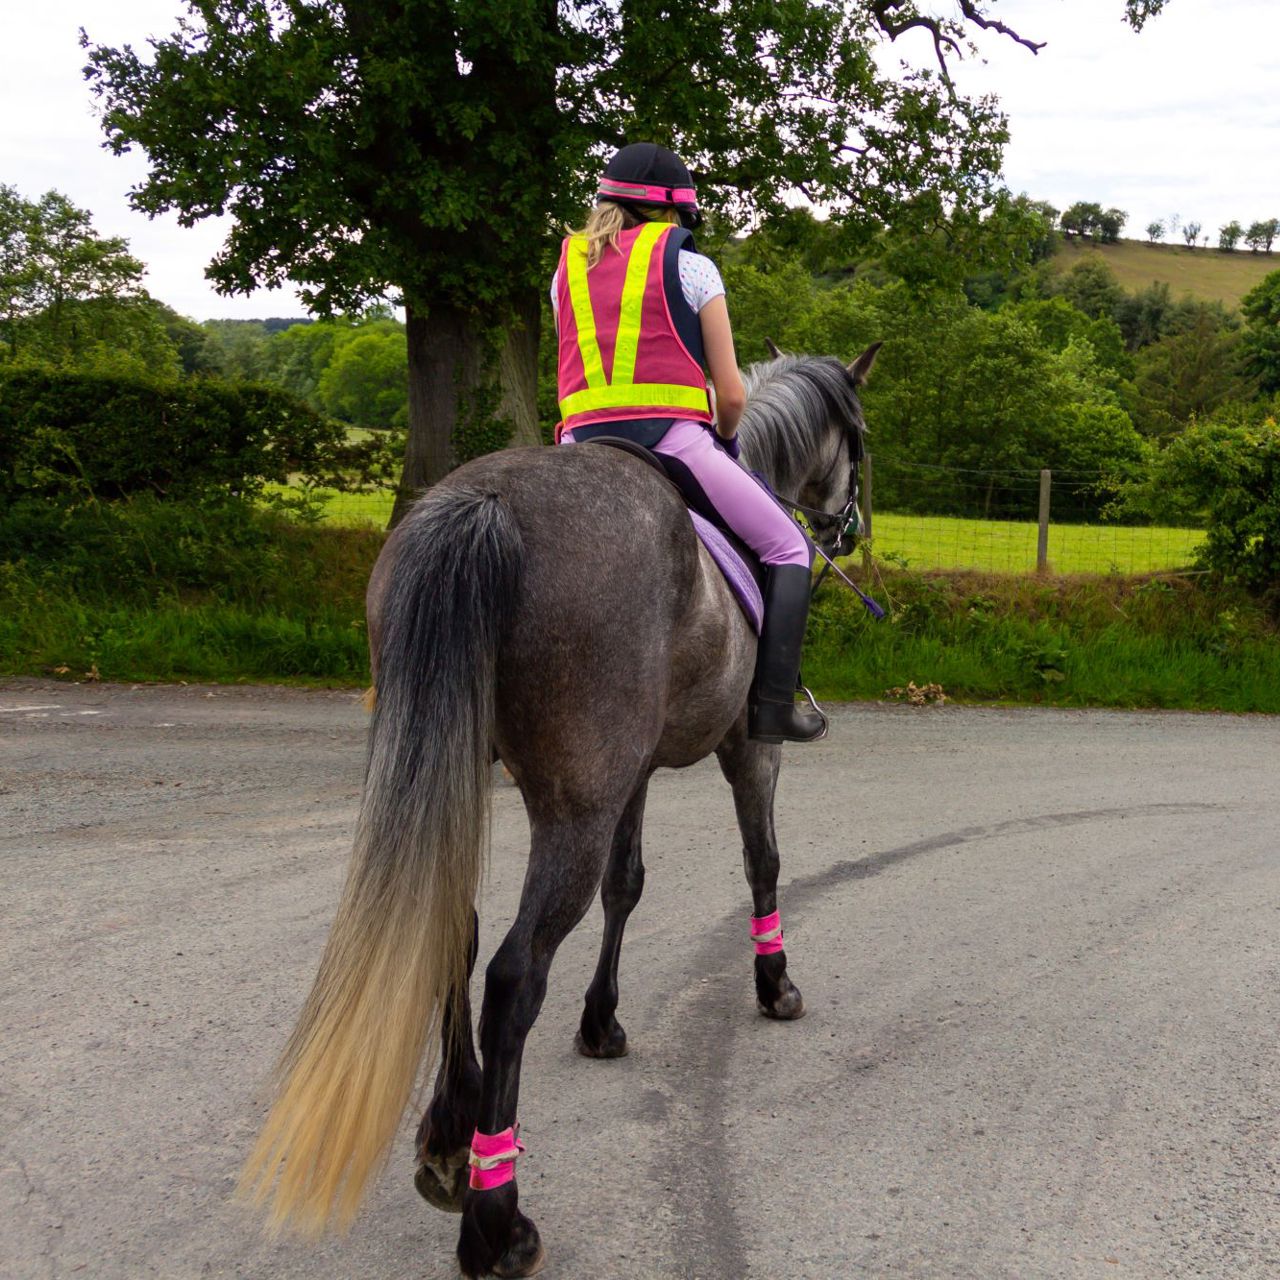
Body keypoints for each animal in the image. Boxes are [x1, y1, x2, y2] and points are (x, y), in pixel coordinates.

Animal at [240, 342, 880, 1277]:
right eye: (858, 438)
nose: (849, 528)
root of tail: (485, 504)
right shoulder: (745, 751)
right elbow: (762, 862)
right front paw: (775, 983)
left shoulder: (631, 775)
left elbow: (628, 885)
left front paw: (602, 1020)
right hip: (572, 809)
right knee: (514, 974)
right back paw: (497, 1217)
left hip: (477, 773)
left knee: (456, 929)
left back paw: (450, 1138)